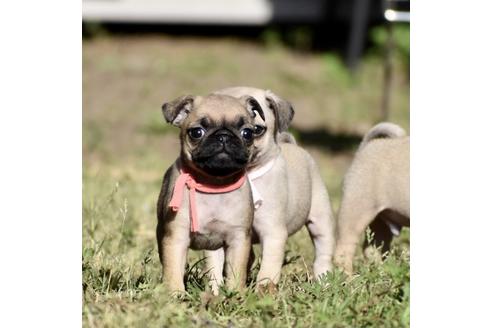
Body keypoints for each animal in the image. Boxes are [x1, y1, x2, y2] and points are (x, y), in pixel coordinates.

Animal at [208, 86, 338, 288]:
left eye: (255, 131)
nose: (226, 139)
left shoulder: (273, 233)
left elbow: (267, 271)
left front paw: (263, 291)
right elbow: (214, 264)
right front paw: (214, 290)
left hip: (320, 219)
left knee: (322, 252)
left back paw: (323, 280)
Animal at [332, 121, 410, 274]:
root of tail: (367, 147)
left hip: (380, 220)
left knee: (373, 248)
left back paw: (381, 272)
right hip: (356, 211)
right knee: (344, 251)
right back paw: (350, 278)